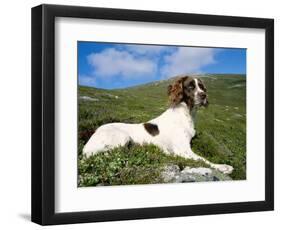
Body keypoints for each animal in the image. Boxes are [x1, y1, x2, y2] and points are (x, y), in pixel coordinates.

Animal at [82, 75, 233, 174]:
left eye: (202, 87)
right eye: (190, 86)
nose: (204, 96)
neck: (186, 114)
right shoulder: (182, 149)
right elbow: (203, 159)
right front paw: (223, 167)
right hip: (122, 137)